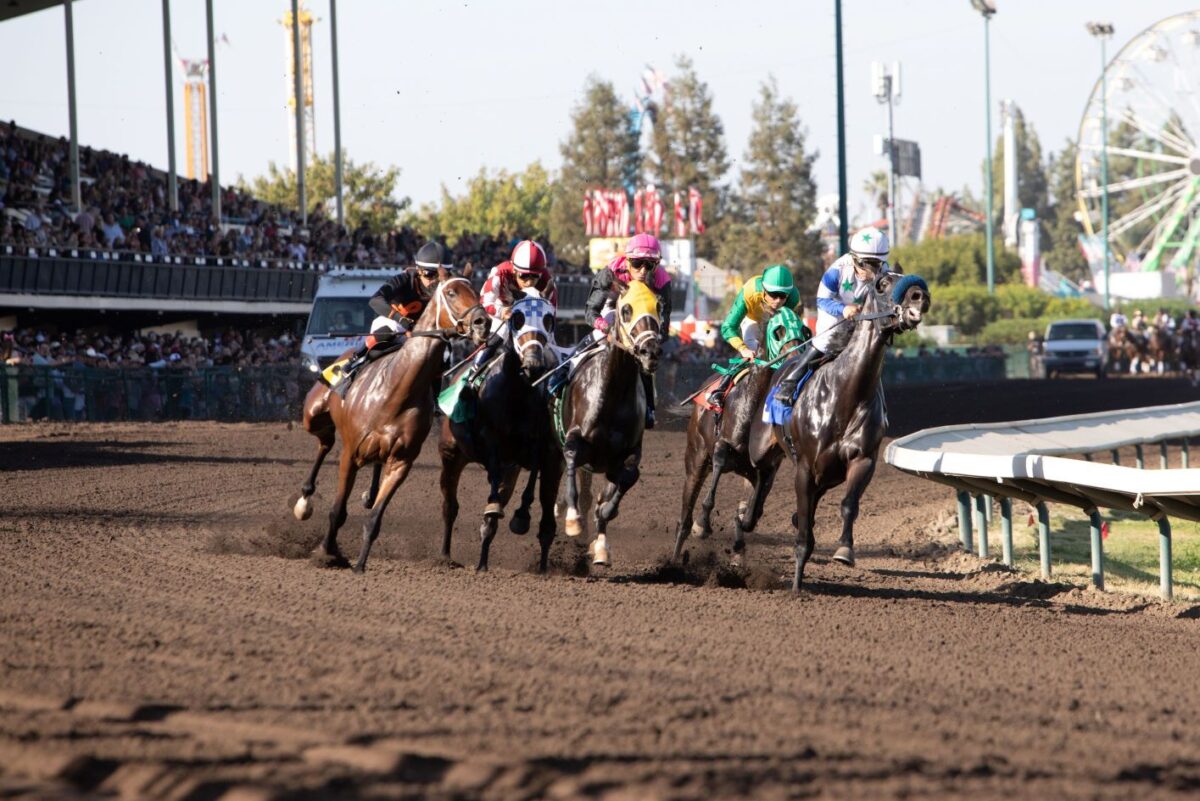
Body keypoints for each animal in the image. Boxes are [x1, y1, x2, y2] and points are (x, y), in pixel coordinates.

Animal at [295, 272, 492, 573]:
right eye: (452, 292)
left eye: (476, 291)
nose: (483, 322)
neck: (396, 389)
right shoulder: (350, 453)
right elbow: (338, 510)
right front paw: (327, 553)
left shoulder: (401, 461)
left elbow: (376, 517)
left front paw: (360, 564)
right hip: (313, 415)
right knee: (325, 442)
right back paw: (305, 498)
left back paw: (367, 493)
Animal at [439, 291, 564, 573]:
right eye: (517, 318)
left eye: (548, 319)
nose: (533, 364)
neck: (519, 392)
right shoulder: (492, 442)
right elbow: (493, 482)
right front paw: (500, 510)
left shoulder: (546, 453)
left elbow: (540, 493)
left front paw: (523, 518)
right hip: (451, 453)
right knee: (450, 506)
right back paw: (449, 556)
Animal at [556, 278, 662, 565]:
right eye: (625, 309)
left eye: (659, 307)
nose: (650, 351)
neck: (612, 391)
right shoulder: (575, 437)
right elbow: (571, 455)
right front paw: (572, 520)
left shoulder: (627, 453)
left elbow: (626, 480)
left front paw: (602, 538)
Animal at [672, 306, 811, 563]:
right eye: (778, 330)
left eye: (805, 330)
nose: (798, 358)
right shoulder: (722, 444)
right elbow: (718, 467)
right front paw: (702, 525)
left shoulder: (767, 468)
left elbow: (752, 512)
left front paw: (740, 533)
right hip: (696, 457)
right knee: (685, 515)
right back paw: (677, 554)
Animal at [782, 272, 931, 592]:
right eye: (883, 284)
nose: (920, 295)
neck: (845, 394)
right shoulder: (805, 465)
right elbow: (804, 518)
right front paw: (797, 584)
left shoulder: (863, 460)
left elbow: (849, 504)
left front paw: (844, 551)